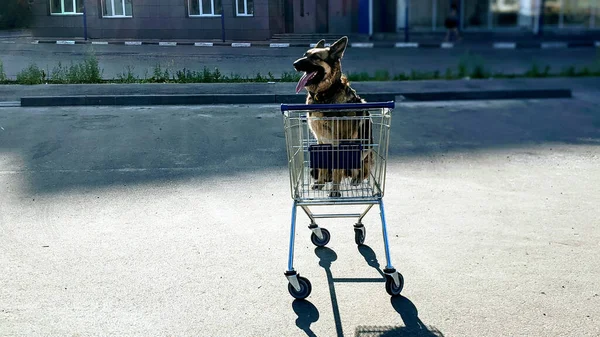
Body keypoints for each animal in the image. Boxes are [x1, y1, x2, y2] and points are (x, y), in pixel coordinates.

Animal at [292, 35, 372, 197]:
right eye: (305, 54)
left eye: (315, 57)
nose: (294, 64)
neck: (324, 95)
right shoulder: (321, 140)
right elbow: (324, 166)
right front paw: (320, 183)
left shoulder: (340, 143)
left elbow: (337, 170)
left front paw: (335, 190)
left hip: (364, 151)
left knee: (363, 171)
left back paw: (355, 179)